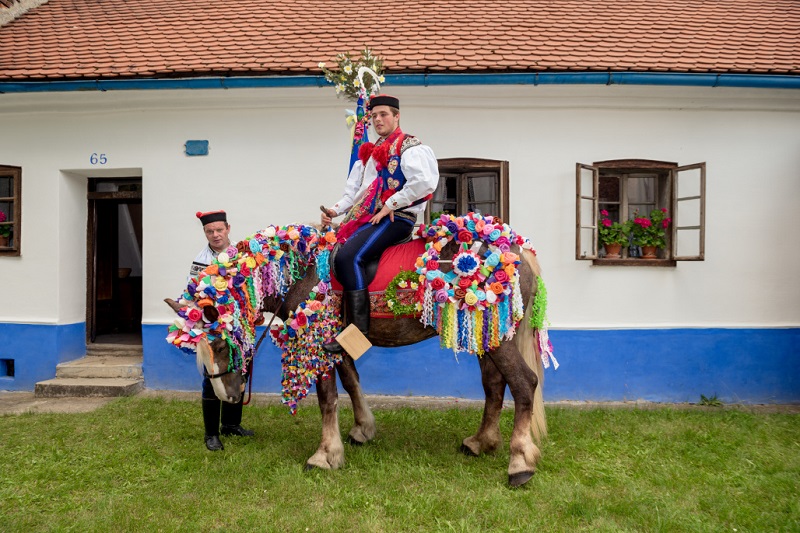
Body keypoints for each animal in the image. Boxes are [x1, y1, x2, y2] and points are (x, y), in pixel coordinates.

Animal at [166, 212, 556, 486]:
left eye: (219, 343)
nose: (226, 395)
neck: (303, 269)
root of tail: (516, 250)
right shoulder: (336, 341)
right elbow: (352, 382)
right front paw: (362, 431)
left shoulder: (317, 340)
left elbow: (327, 399)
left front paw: (324, 455)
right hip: (488, 338)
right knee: (494, 385)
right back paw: (481, 442)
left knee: (523, 384)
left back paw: (519, 464)